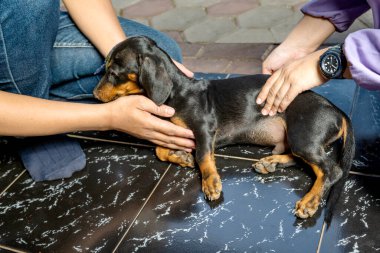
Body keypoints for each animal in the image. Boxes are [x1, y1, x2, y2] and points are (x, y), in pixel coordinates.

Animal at [93, 36, 354, 220]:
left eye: (113, 72)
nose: (94, 95)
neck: (178, 93)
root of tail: (337, 110)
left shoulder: (204, 128)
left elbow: (202, 155)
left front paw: (210, 183)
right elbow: (159, 150)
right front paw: (180, 156)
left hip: (303, 135)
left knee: (331, 171)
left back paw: (309, 202)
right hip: (295, 140)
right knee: (302, 161)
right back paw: (271, 163)